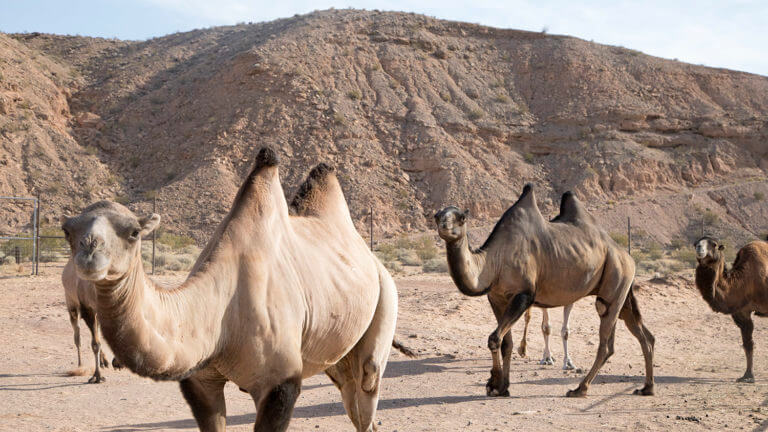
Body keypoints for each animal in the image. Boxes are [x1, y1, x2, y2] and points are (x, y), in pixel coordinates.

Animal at [60, 148, 402, 432]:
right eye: (67, 231)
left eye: (133, 232)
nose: (90, 254)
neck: (221, 318)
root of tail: (372, 260)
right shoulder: (200, 381)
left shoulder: (280, 383)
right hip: (336, 350)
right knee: (352, 396)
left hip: (387, 297)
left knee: (368, 381)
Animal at [436, 187, 656, 396]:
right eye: (436, 215)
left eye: (461, 218)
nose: (443, 226)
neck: (494, 261)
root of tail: (625, 254)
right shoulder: (497, 298)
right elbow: (506, 342)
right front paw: (502, 387)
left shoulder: (524, 295)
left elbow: (494, 339)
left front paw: (494, 384)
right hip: (622, 291)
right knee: (644, 335)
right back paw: (647, 388)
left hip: (615, 278)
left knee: (606, 342)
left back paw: (579, 389)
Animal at [692, 236, 764, 382]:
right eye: (696, 243)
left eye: (714, 244)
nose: (699, 248)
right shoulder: (741, 312)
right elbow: (748, 344)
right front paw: (747, 376)